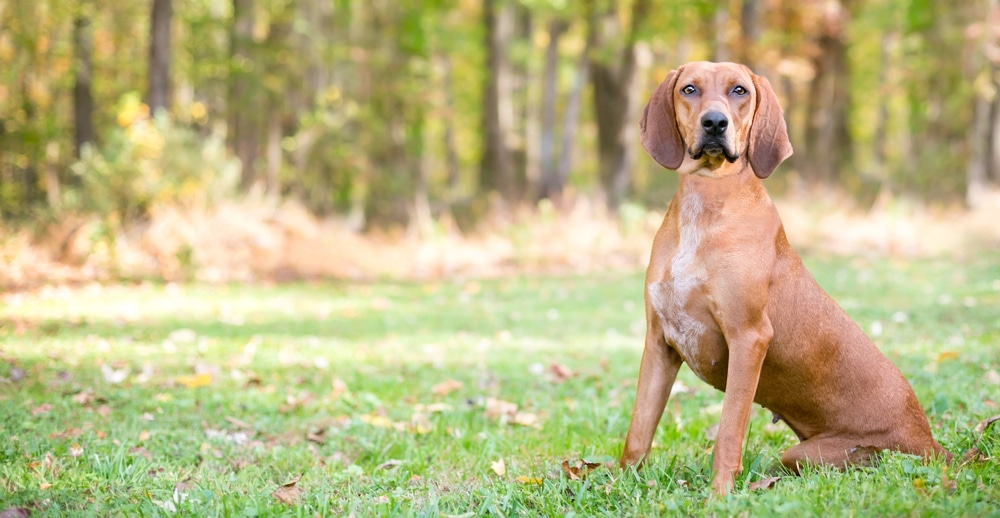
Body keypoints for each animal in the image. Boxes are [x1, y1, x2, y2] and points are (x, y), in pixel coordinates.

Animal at [616, 63, 944, 498]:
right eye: (689, 89)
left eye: (739, 90)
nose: (715, 122)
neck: (707, 200)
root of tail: (932, 442)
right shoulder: (659, 342)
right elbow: (638, 431)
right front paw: (616, 484)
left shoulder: (748, 338)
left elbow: (729, 431)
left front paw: (719, 494)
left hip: (813, 453)